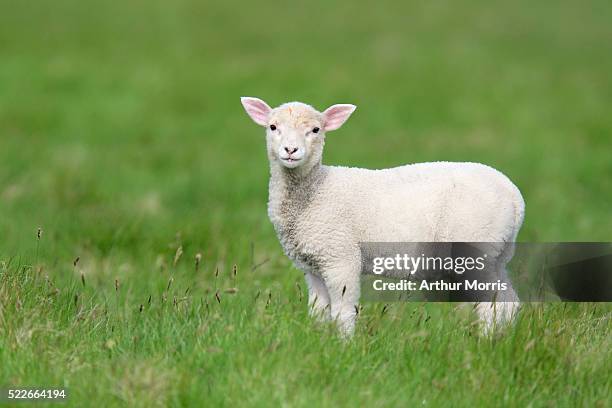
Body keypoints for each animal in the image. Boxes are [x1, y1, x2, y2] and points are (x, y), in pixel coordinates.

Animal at [241, 97, 524, 336]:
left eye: (316, 130)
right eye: (273, 127)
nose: (290, 150)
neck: (316, 188)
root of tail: (514, 196)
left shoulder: (340, 257)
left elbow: (343, 312)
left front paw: (344, 347)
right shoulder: (313, 265)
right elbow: (318, 311)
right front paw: (319, 341)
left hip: (476, 247)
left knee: (491, 305)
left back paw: (484, 342)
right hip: (498, 253)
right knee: (509, 301)